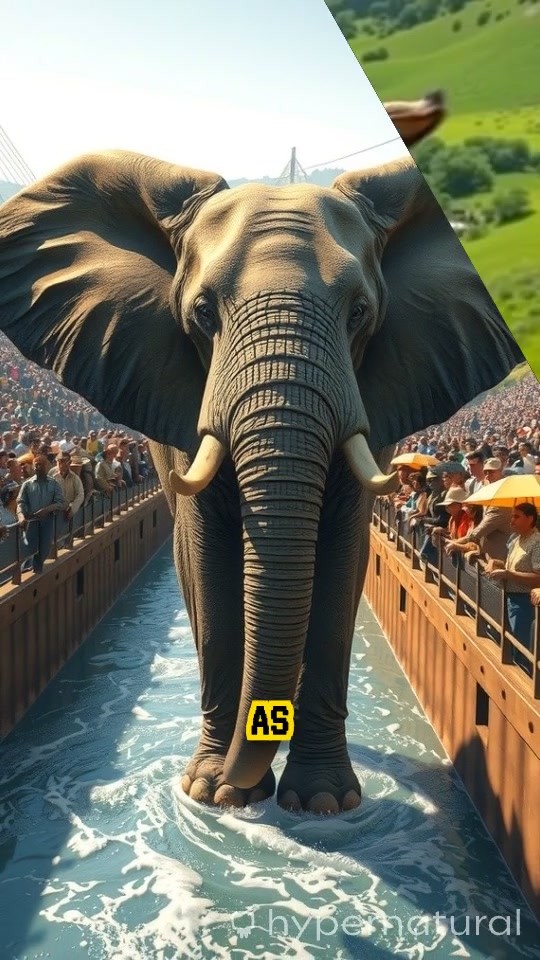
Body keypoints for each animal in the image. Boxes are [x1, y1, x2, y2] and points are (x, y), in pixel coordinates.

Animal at [0, 102, 522, 816]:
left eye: (360, 313)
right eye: (200, 312)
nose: (237, 781)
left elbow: (341, 558)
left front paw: (323, 803)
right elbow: (209, 557)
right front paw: (215, 795)